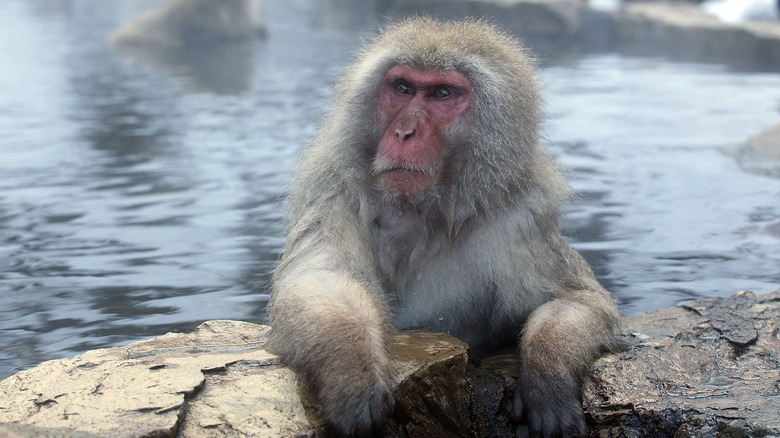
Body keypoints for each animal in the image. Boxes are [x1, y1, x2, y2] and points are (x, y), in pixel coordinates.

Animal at [268, 17, 620, 438]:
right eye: (403, 88)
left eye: (441, 93)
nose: (404, 132)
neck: (420, 210)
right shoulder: (333, 189)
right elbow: (320, 278)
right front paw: (353, 372)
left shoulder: (522, 219)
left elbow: (578, 300)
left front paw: (548, 378)